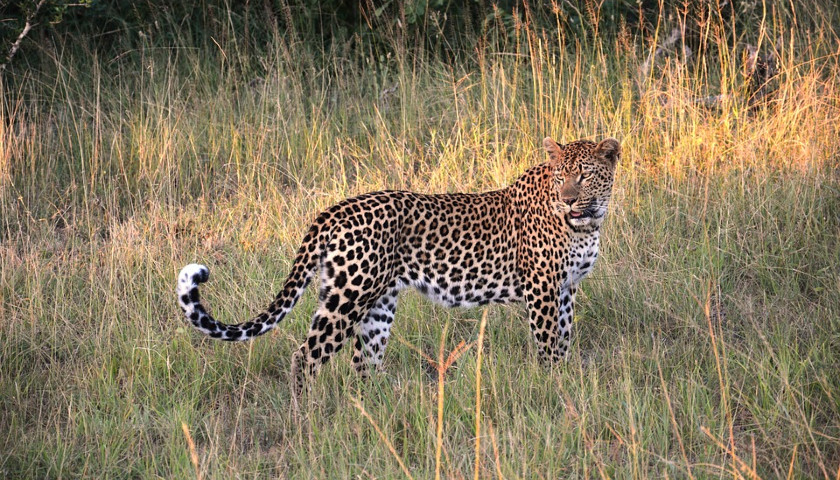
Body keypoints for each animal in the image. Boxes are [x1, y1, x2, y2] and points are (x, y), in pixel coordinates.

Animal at [177, 135, 620, 394]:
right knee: (306, 355)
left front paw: (565, 378)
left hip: (377, 303)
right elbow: (548, 343)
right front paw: (553, 386)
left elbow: (564, 338)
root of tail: (334, 209)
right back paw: (306, 419)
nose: (567, 199)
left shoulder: (566, 289)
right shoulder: (542, 288)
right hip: (349, 296)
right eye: (561, 176)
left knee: (364, 361)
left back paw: (374, 412)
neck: (588, 221)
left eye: (583, 176)